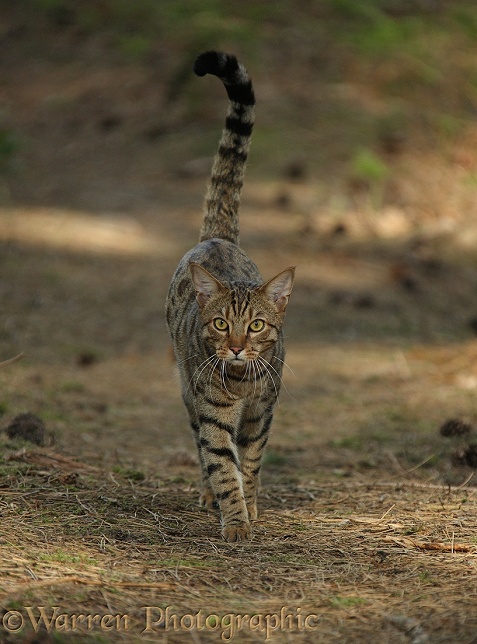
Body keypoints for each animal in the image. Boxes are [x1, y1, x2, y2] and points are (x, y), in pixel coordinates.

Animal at [165, 51, 294, 544]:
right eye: (221, 324)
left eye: (256, 325)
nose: (237, 347)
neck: (240, 382)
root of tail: (217, 236)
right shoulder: (212, 412)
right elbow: (222, 465)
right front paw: (235, 521)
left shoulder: (262, 412)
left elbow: (252, 462)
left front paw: (250, 506)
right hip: (187, 390)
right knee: (201, 445)